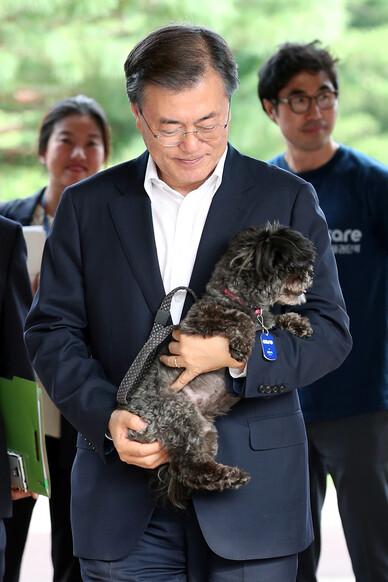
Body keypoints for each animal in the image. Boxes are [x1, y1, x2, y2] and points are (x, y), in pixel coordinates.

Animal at [119, 221, 316, 508]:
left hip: (205, 430)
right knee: (187, 468)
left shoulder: (265, 321)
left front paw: (298, 323)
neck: (236, 298)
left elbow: (273, 321)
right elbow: (237, 319)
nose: (310, 273)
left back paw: (226, 477)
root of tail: (138, 416)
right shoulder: (201, 320)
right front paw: (242, 344)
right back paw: (228, 476)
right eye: (289, 266)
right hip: (181, 415)